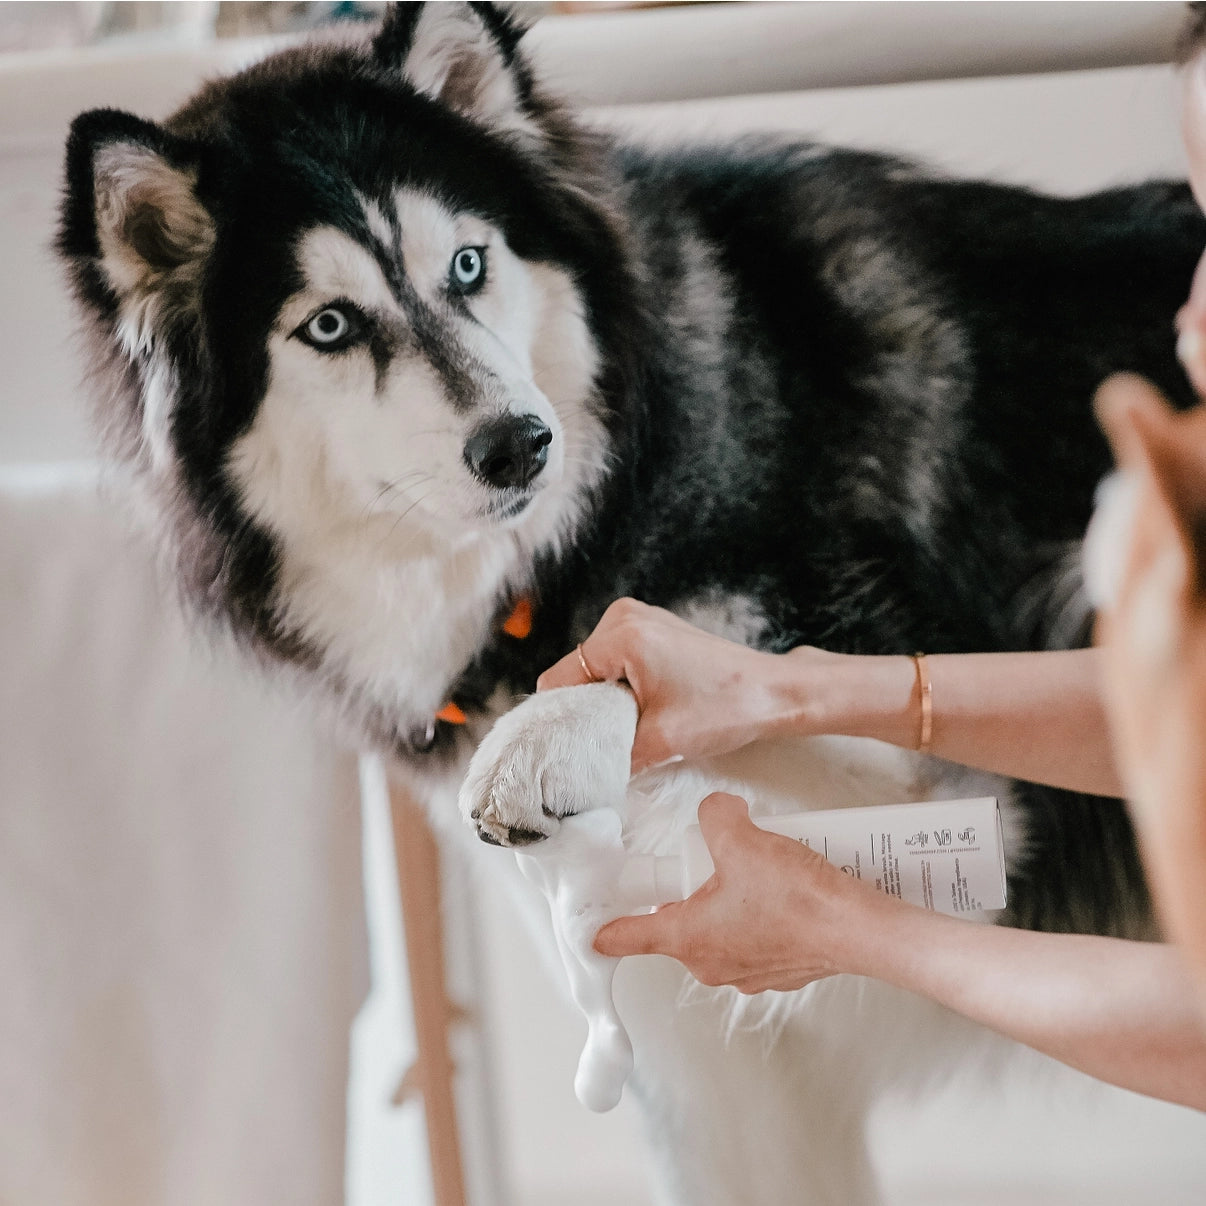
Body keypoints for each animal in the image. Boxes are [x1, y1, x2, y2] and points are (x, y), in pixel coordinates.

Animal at [58, 4, 1206, 1201]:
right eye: (329, 326)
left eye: (468, 262)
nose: (522, 444)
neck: (568, 549)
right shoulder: (708, 1080)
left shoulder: (948, 793)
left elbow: (664, 670)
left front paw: (554, 731)